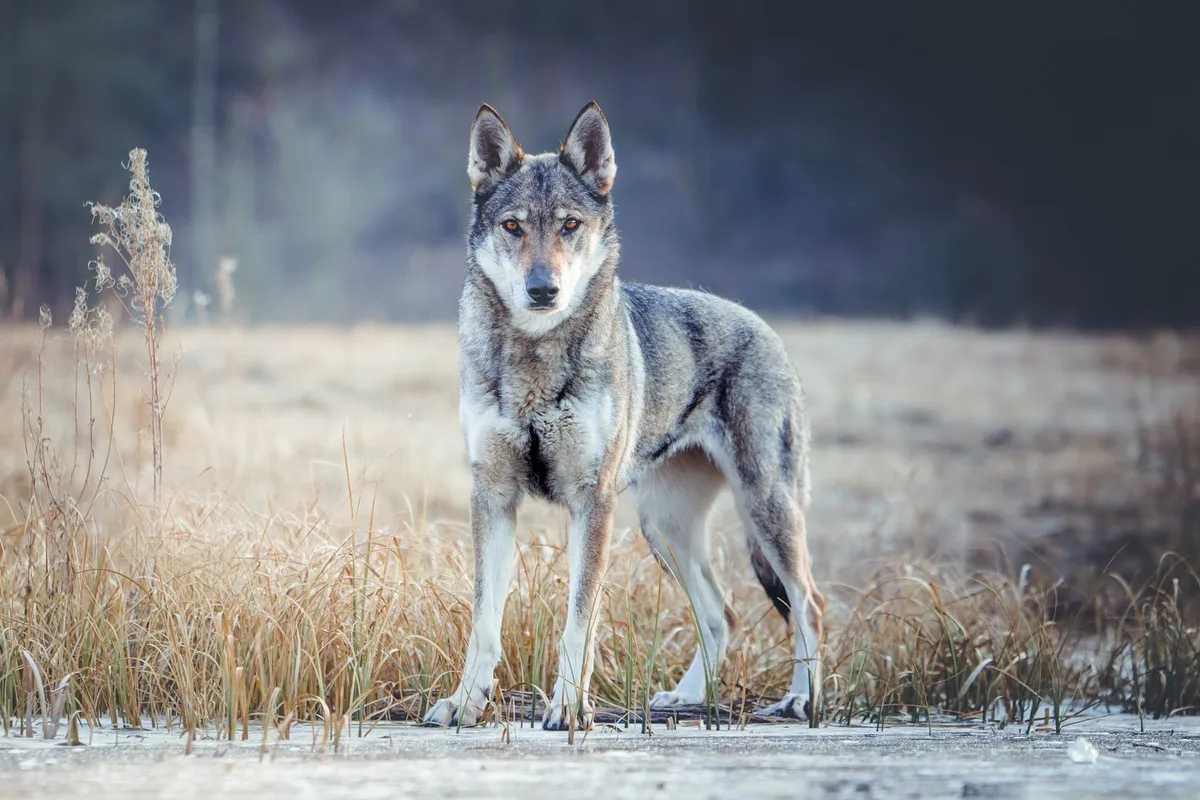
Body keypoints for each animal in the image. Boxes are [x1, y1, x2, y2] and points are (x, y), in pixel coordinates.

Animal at [423, 101, 824, 730]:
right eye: (513, 227)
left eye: (569, 226)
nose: (543, 289)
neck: (536, 356)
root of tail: (764, 327)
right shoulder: (492, 495)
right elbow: (484, 623)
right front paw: (464, 705)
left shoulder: (594, 503)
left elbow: (578, 624)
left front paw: (568, 709)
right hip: (664, 527)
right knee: (722, 614)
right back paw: (686, 698)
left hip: (764, 511)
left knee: (809, 603)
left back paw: (801, 701)